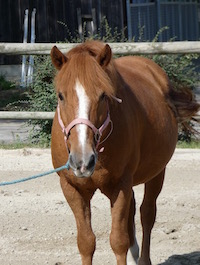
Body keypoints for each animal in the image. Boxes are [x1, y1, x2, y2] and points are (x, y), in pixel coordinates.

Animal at [50, 39, 200, 264]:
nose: (82, 160)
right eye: (61, 96)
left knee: (147, 214)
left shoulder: (120, 185)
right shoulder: (72, 188)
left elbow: (118, 241)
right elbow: (86, 242)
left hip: (157, 173)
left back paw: (143, 258)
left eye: (103, 96)